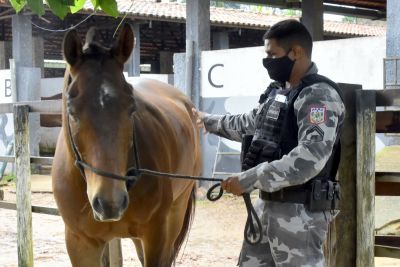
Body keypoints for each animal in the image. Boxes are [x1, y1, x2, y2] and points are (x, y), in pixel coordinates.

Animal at [51, 24, 202, 266]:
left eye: (131, 107)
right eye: (72, 111)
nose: (110, 202)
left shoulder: (156, 235)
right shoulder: (80, 243)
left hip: (175, 212)